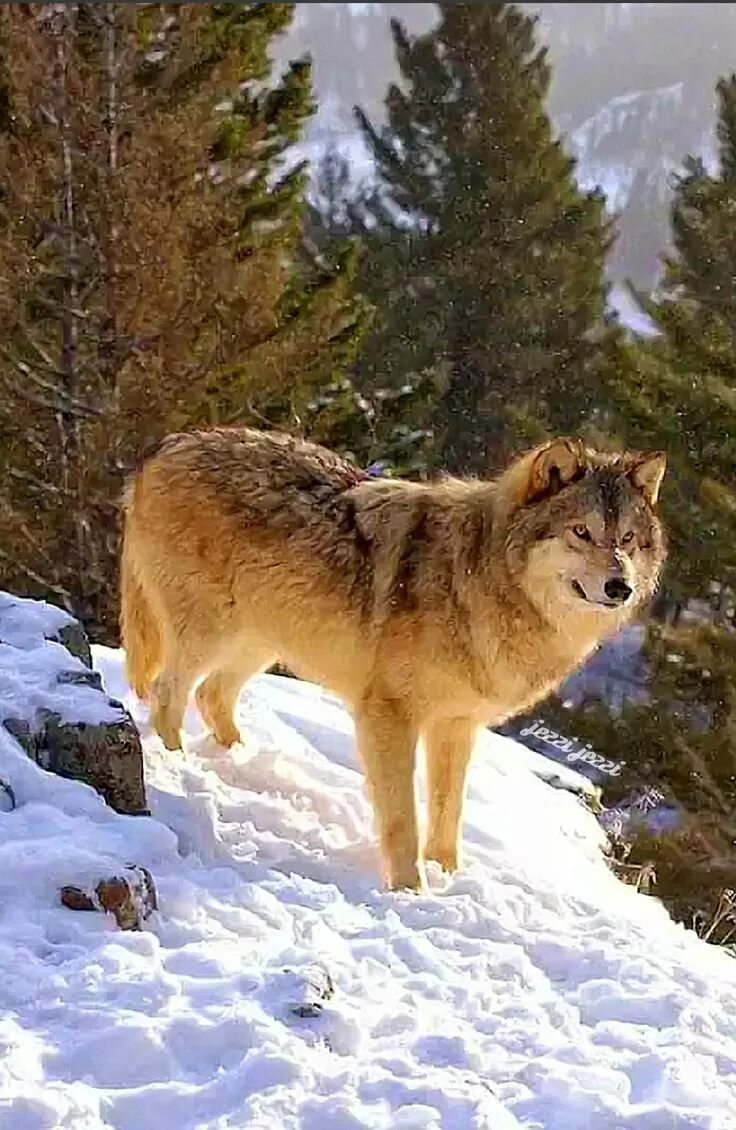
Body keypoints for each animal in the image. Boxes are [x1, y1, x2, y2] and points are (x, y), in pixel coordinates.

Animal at [120, 428, 667, 891]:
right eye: (581, 531)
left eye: (627, 540)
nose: (620, 587)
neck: (478, 583)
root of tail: (165, 446)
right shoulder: (390, 716)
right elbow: (404, 817)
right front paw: (410, 890)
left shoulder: (456, 728)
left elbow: (449, 815)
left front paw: (447, 878)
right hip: (211, 635)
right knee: (167, 695)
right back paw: (181, 768)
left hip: (260, 643)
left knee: (212, 696)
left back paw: (240, 762)